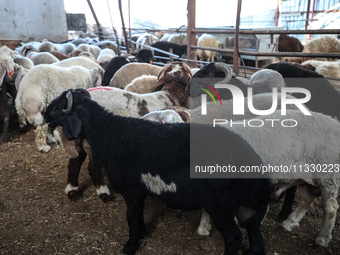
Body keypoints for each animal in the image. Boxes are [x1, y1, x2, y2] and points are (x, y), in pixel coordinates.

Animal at [44, 88, 270, 255]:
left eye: (59, 106)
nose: (44, 114)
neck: (109, 133)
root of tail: (252, 159)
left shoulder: (131, 189)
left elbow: (131, 216)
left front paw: (130, 245)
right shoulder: (140, 189)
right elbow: (138, 214)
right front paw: (142, 234)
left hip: (219, 202)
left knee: (234, 237)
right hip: (247, 202)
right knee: (253, 229)